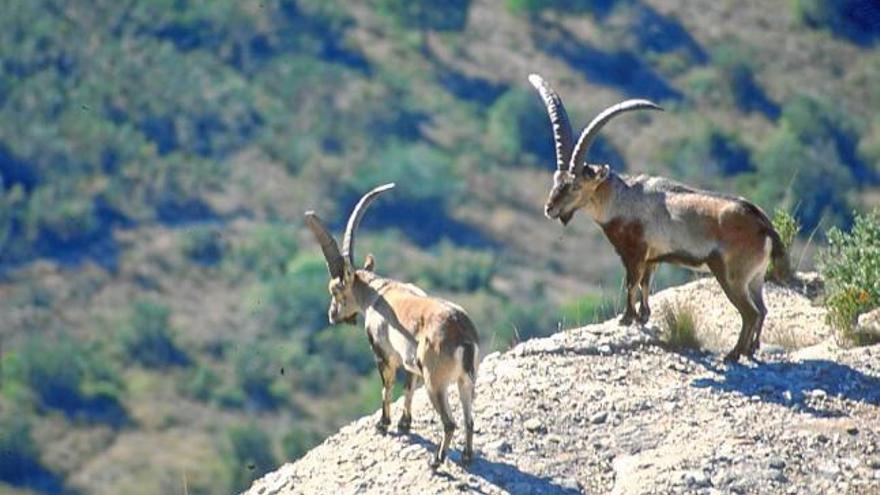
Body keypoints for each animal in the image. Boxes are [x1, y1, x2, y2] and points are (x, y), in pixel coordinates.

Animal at [304, 185, 482, 468]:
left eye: (335, 290)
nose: (331, 315)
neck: (378, 294)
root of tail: (463, 335)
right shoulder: (410, 363)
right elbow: (407, 389)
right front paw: (404, 424)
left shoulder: (384, 354)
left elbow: (386, 387)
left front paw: (383, 424)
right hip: (466, 380)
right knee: (469, 418)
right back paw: (466, 456)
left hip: (436, 381)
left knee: (449, 422)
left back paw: (436, 461)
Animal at [528, 73, 792, 362]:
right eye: (556, 179)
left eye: (575, 186)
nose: (550, 208)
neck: (622, 200)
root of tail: (764, 226)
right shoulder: (652, 256)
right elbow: (645, 284)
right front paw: (643, 317)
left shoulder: (634, 252)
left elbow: (631, 283)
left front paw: (626, 318)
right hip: (755, 276)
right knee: (762, 309)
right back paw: (752, 349)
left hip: (732, 275)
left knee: (750, 313)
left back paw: (734, 354)